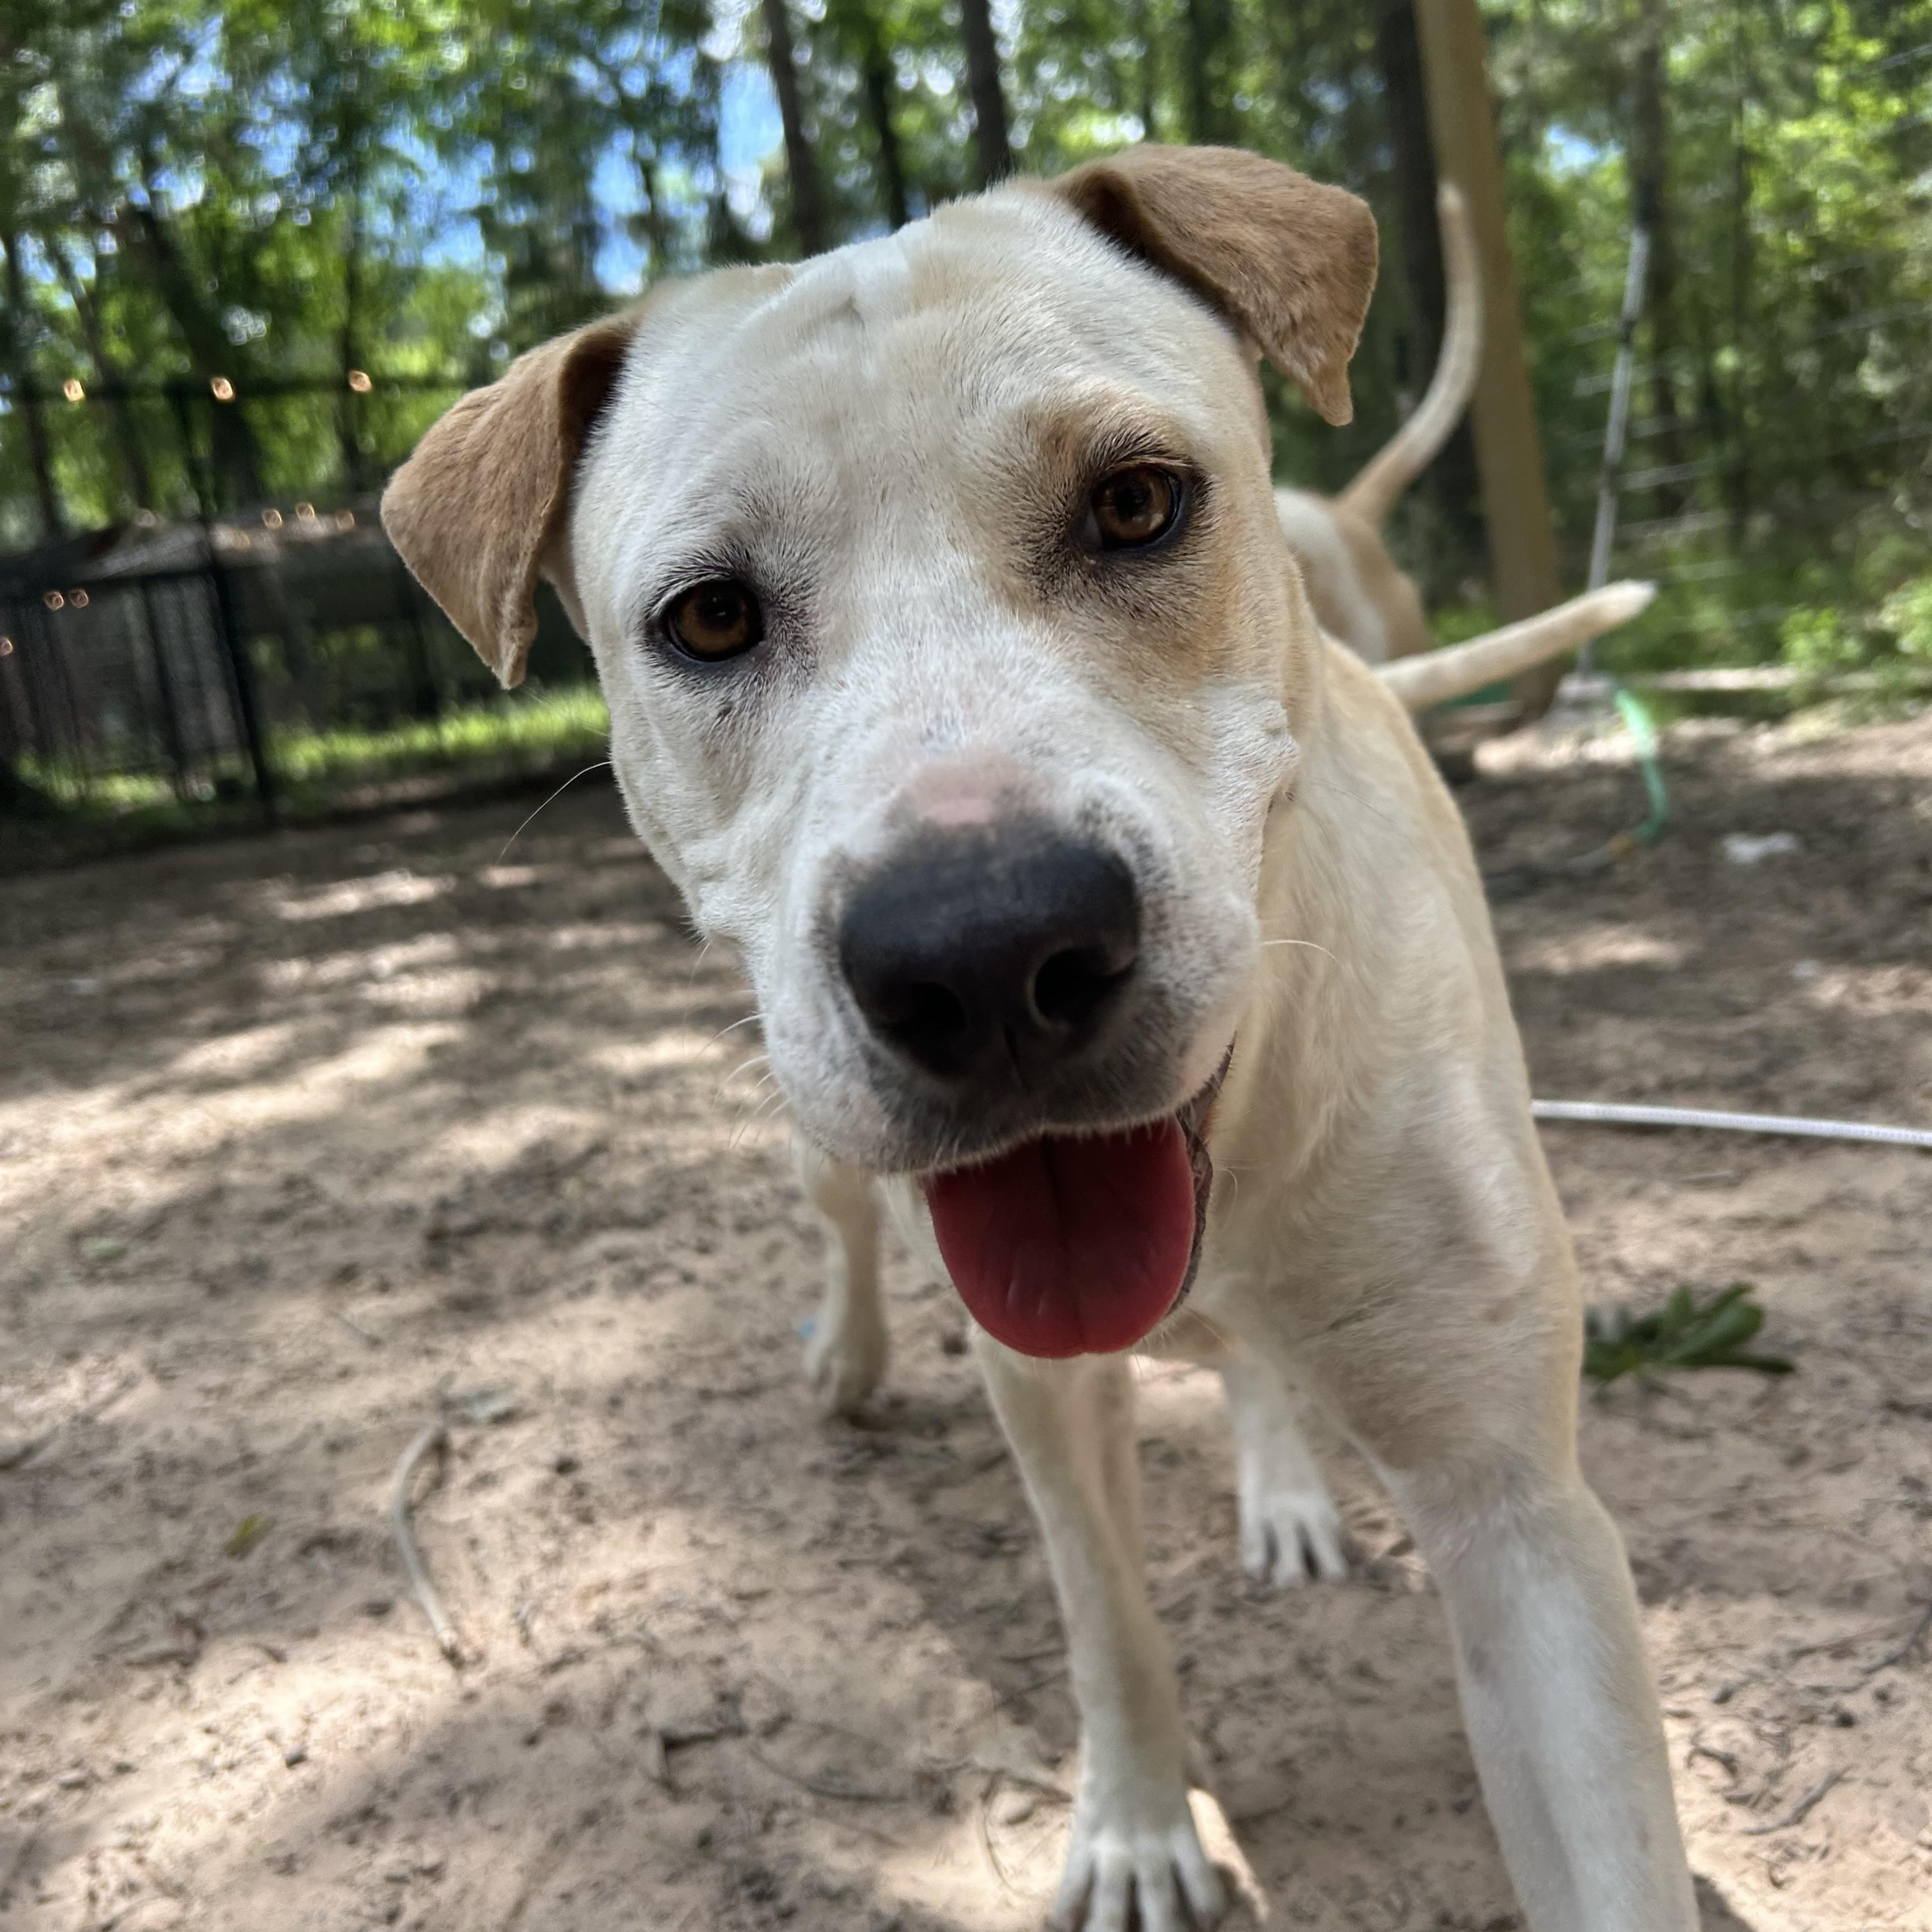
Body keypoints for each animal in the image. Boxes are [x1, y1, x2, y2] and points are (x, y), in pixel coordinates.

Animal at [384, 144, 1695, 1931]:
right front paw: (1143, 1830)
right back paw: (854, 1361)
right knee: (848, 1229)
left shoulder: (1521, 1517)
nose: (987, 954)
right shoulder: (1043, 1395)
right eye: (709, 619)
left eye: (1136, 505)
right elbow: (1107, 1623)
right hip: (819, 1126)